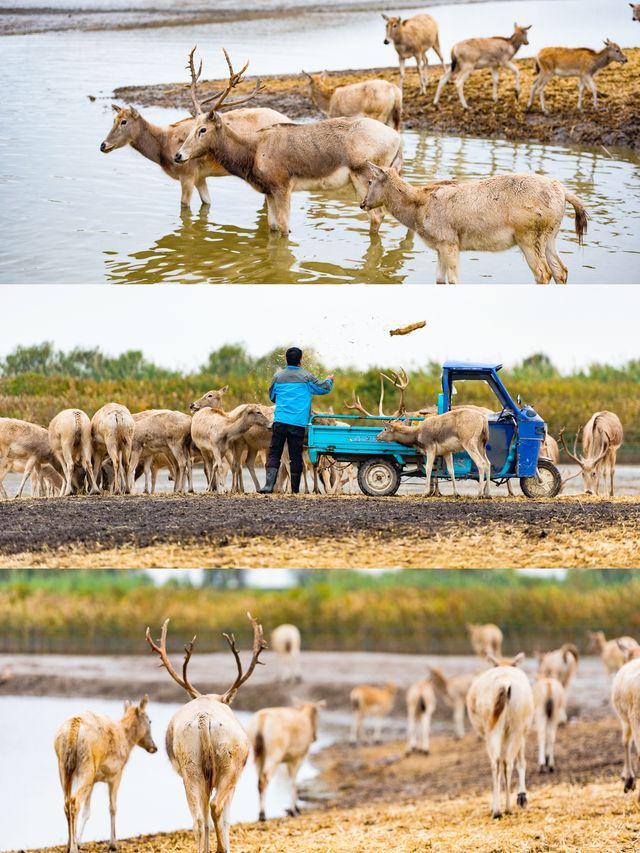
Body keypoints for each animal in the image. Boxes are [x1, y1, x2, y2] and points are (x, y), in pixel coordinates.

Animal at [55, 696, 158, 852]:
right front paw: (113, 844)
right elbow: (112, 807)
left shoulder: (94, 780)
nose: (154, 747)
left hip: (63, 767)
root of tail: (74, 727)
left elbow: (87, 811)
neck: (126, 741)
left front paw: (79, 842)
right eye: (150, 721)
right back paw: (73, 848)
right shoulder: (116, 773)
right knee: (74, 801)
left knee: (66, 802)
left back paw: (69, 845)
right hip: (86, 767)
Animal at [148, 612, 268, 852]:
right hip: (229, 765)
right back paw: (222, 848)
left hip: (191, 766)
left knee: (197, 819)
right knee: (216, 807)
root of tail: (204, 720)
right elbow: (226, 820)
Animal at [175, 48, 402, 238]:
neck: (252, 155)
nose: (178, 155)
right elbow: (273, 229)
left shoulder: (282, 186)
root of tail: (398, 140)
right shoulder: (268, 191)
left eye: (203, 130)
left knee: (377, 216)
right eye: (192, 126)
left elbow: (284, 231)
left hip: (364, 176)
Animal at [362, 165, 588, 284]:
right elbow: (439, 279)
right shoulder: (441, 246)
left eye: (370, 181)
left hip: (529, 237)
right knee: (561, 270)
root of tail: (562, 192)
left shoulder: (449, 242)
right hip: (551, 235)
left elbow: (453, 279)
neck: (418, 208)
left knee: (543, 273)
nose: (363, 203)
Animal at [464, 652, 536, 820]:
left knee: (499, 761)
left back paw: (499, 810)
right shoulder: (523, 731)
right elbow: (520, 762)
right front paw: (522, 798)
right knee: (505, 761)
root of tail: (504, 683)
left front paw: (522, 798)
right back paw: (505, 809)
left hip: (495, 727)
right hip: (514, 727)